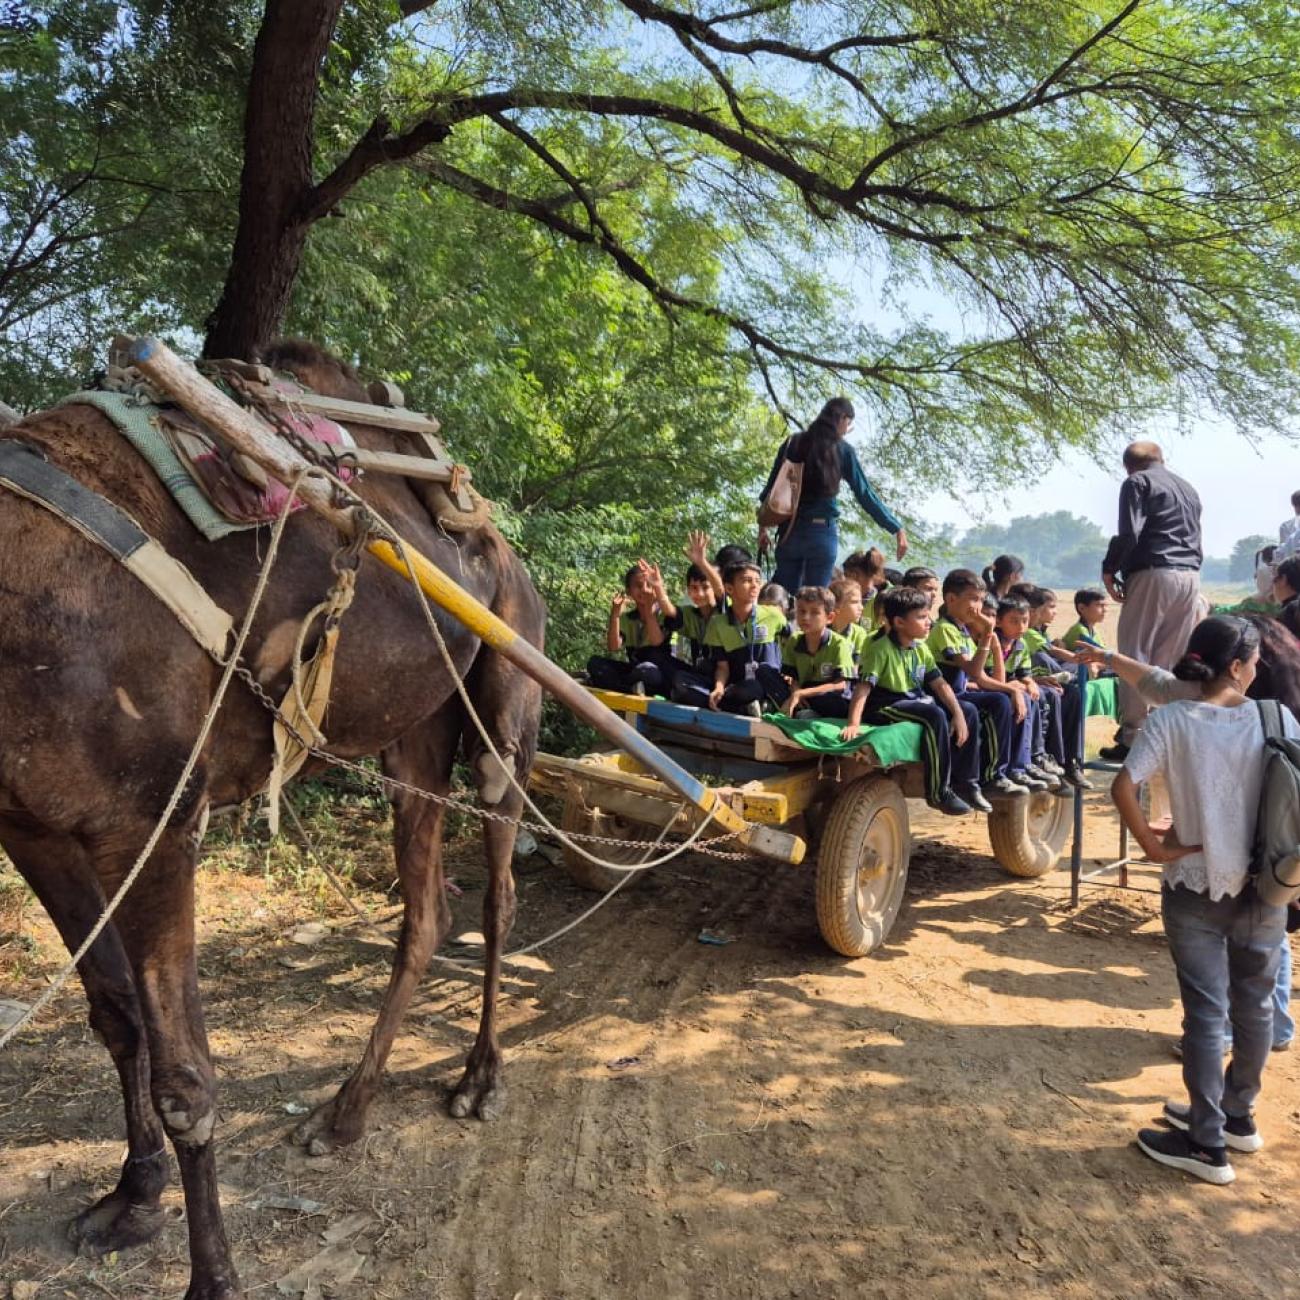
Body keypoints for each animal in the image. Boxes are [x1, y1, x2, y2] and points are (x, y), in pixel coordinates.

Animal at [0, 343, 543, 1300]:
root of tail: (496, 544)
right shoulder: (32, 824)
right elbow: (115, 1012)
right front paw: (130, 1197)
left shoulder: (153, 816)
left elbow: (187, 1078)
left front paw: (212, 1279)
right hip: (412, 733)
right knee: (428, 908)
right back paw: (345, 1114)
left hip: (508, 694)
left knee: (498, 889)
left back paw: (479, 1080)